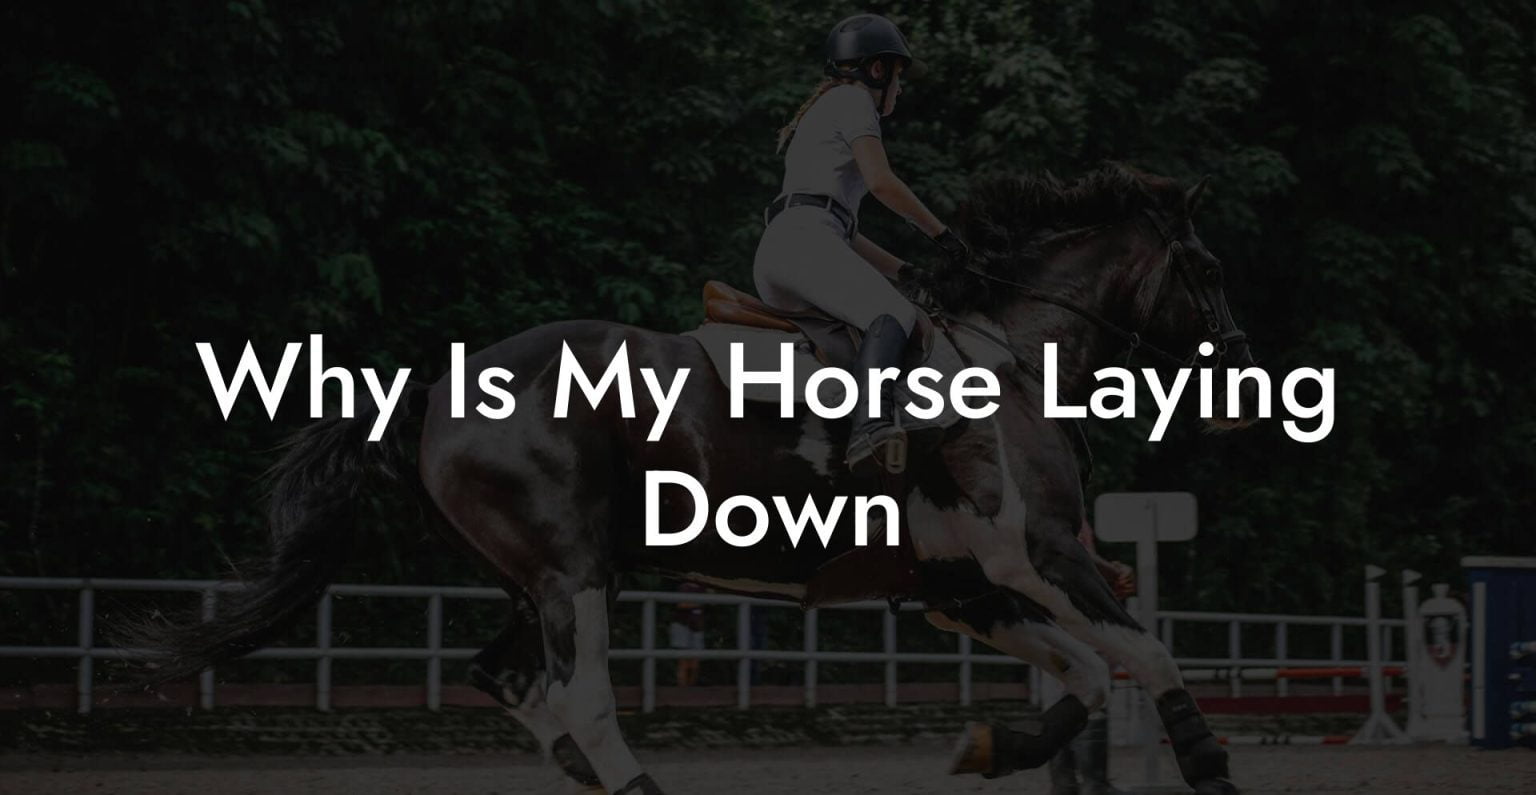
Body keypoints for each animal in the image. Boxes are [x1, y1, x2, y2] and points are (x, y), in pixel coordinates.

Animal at [119, 164, 1257, 795]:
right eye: (1205, 270)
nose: (1244, 377)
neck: (1009, 350)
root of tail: (434, 389)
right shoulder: (1039, 553)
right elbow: (1148, 660)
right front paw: (1208, 769)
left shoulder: (965, 588)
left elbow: (1086, 677)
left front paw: (988, 744)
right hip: (574, 571)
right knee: (579, 700)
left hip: (541, 579)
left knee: (505, 679)